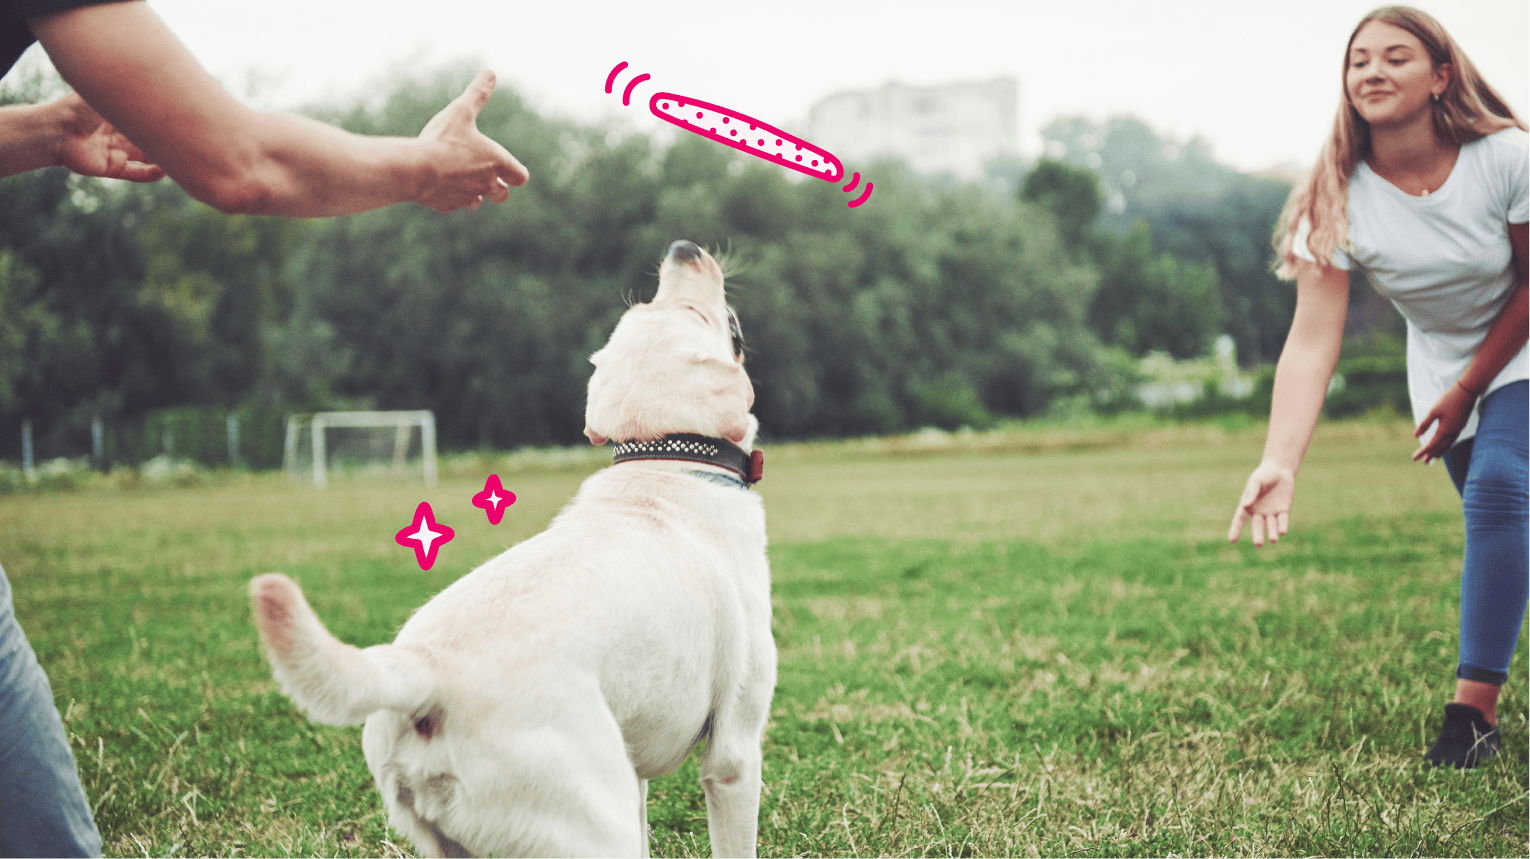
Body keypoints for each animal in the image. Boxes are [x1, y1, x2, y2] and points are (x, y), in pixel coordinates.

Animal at [255, 241, 777, 857]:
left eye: (644, 306)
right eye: (695, 315)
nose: (682, 248)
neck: (665, 459)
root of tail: (426, 671)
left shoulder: (638, 773)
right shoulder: (734, 755)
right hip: (593, 822)